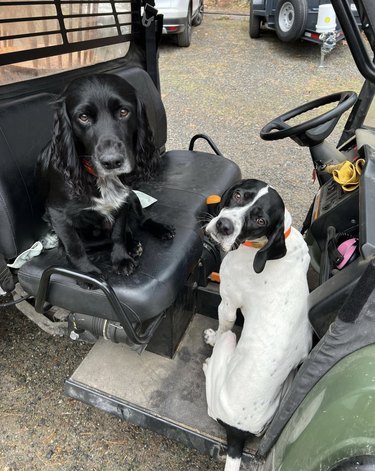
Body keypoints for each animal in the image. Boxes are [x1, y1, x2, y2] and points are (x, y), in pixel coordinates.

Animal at [36, 74, 175, 280]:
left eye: (124, 112)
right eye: (83, 117)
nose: (112, 162)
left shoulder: (123, 199)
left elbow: (117, 234)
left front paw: (121, 259)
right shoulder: (58, 214)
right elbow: (75, 247)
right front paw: (87, 274)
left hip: (134, 197)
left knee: (142, 220)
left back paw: (158, 230)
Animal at [204, 179, 312, 470]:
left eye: (260, 219)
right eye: (239, 195)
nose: (224, 226)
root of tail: (237, 432)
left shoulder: (228, 305)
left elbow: (224, 325)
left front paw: (211, 337)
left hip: (228, 347)